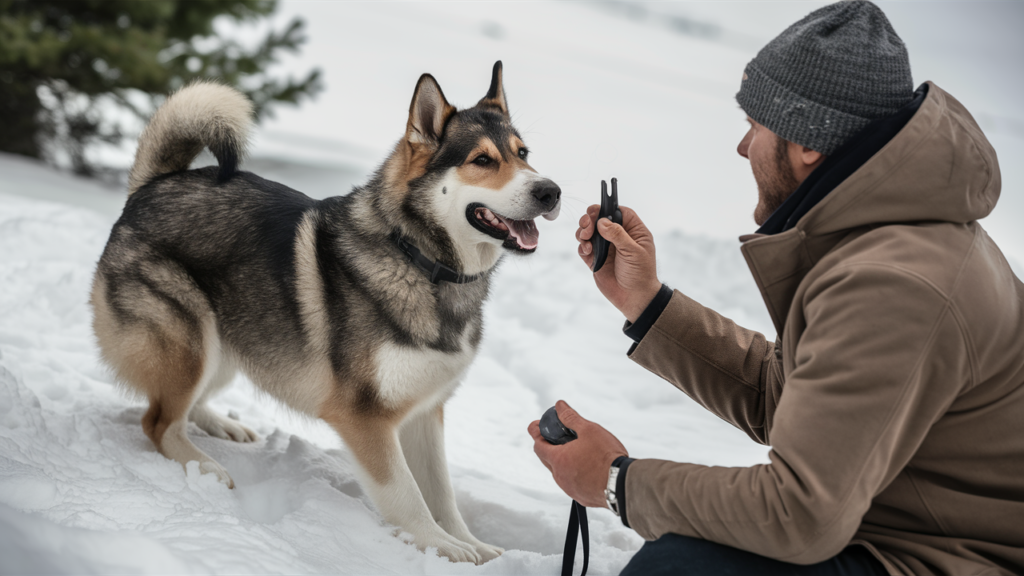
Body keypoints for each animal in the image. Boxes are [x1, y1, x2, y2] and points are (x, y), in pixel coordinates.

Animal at [90, 62, 561, 561]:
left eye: (523, 154)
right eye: (482, 161)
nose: (551, 192)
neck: (419, 260)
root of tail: (152, 186)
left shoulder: (425, 411)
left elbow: (442, 494)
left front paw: (475, 547)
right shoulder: (365, 417)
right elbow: (407, 493)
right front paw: (439, 545)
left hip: (236, 344)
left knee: (183, 406)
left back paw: (221, 426)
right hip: (192, 343)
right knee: (158, 421)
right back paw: (204, 467)